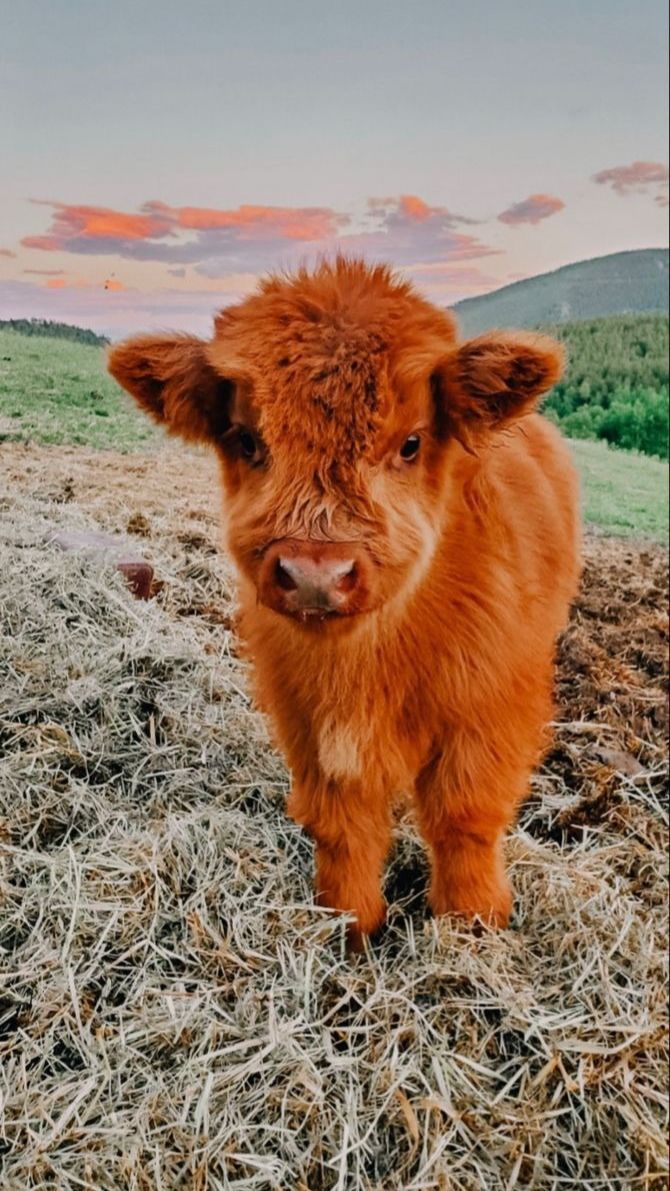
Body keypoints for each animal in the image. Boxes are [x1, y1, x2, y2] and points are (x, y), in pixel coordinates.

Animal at [108, 257, 580, 950]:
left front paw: (472, 925)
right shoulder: (306, 717)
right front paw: (350, 926)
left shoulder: (490, 708)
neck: (369, 662)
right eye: (246, 439)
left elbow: (464, 814)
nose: (315, 575)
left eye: (410, 443)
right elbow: (342, 822)